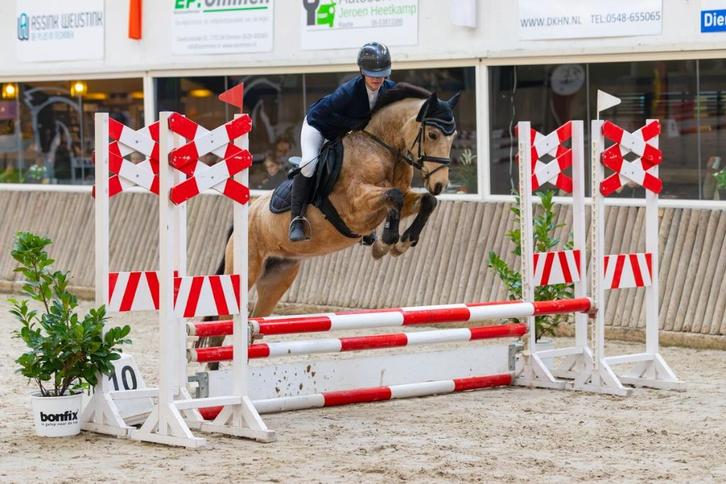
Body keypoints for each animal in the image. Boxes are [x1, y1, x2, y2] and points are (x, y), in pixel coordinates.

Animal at [199, 84, 459, 353]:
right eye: (432, 135)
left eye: (453, 136)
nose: (440, 184)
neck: (381, 149)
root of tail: (247, 215)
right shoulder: (356, 206)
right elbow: (394, 197)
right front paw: (385, 243)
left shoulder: (401, 199)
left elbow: (425, 202)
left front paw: (402, 242)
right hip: (247, 271)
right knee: (221, 327)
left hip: (277, 279)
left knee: (253, 321)